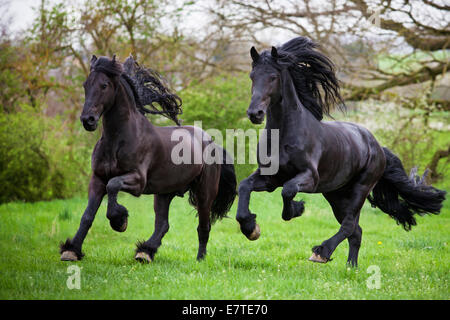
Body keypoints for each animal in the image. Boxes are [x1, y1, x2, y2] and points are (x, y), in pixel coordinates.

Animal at [61, 53, 237, 262]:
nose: (87, 120)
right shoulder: (97, 179)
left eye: (104, 85)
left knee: (203, 226)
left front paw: (119, 221)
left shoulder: (137, 180)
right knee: (163, 224)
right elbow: (87, 216)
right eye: (85, 84)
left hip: (204, 193)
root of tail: (212, 142)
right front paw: (71, 250)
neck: (119, 140)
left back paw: (199, 259)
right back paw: (145, 252)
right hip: (164, 192)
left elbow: (113, 185)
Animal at [237, 37, 444, 268]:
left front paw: (297, 209)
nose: (255, 113)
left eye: (273, 77)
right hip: (336, 195)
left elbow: (288, 191)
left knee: (349, 225)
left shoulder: (309, 178)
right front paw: (250, 228)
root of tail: (377, 146)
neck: (285, 135)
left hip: (360, 189)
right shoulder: (270, 178)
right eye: (252, 76)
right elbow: (244, 186)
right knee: (356, 231)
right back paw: (350, 267)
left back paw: (321, 253)